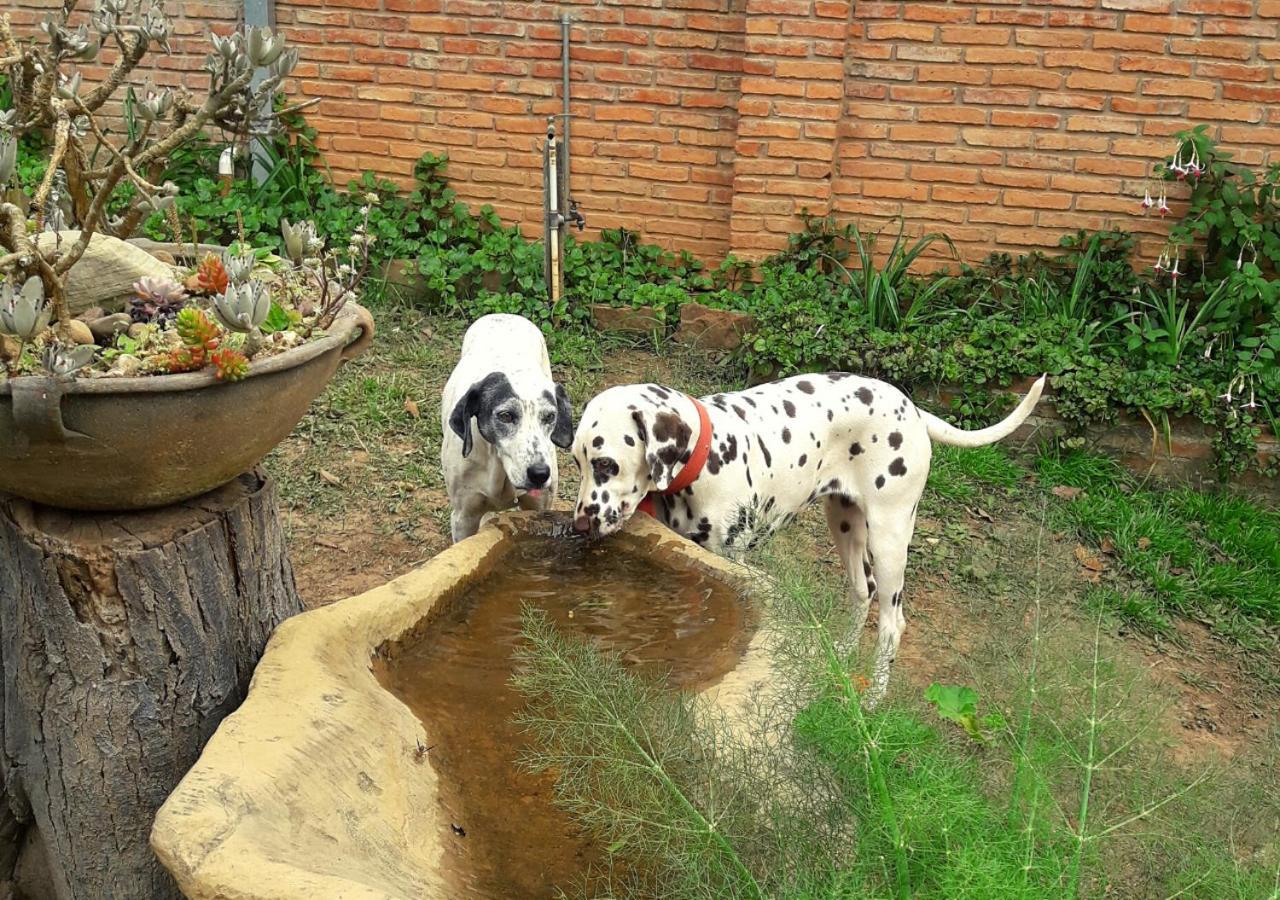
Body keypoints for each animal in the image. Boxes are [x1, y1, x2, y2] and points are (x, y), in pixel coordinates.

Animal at [445, 314, 576, 542]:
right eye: (505, 415)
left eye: (550, 416)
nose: (540, 473)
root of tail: (503, 315)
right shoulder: (463, 517)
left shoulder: (540, 508)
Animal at [576, 373, 1044, 706]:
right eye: (577, 460)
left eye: (606, 463)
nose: (580, 523)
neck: (707, 457)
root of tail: (913, 409)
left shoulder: (728, 559)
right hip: (845, 525)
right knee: (862, 591)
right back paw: (837, 656)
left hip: (890, 537)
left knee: (891, 623)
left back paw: (874, 697)